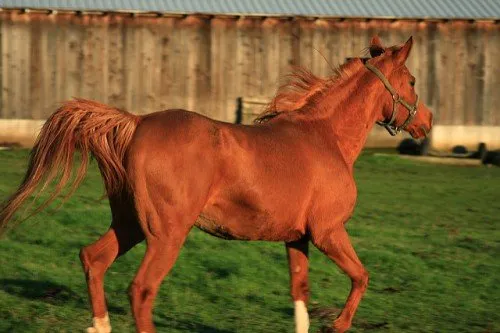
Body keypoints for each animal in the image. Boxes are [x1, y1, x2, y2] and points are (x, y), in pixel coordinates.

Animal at [0, 36, 432, 332]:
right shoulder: (328, 231)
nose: (426, 123)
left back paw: (99, 325)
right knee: (140, 290)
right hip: (166, 233)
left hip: (130, 225)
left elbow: (300, 296)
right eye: (412, 80)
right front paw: (337, 325)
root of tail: (136, 123)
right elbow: (361, 276)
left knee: (93, 258)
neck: (325, 137)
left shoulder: (297, 238)